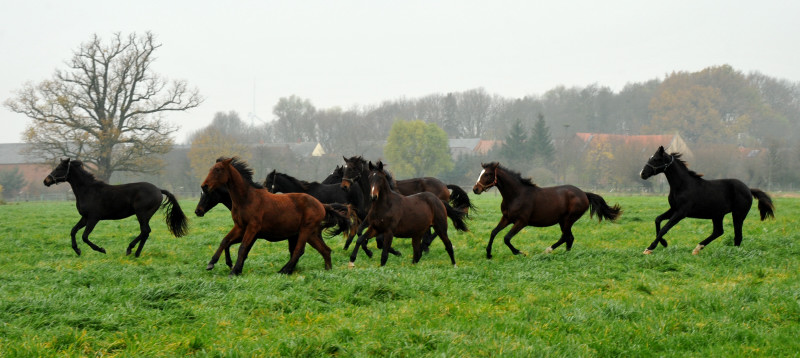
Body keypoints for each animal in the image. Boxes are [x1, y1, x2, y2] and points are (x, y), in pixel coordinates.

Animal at [43, 158, 189, 256]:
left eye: (59, 168)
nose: (46, 181)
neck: (88, 191)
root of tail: (158, 190)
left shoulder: (93, 218)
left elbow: (84, 236)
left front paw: (101, 250)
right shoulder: (85, 217)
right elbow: (73, 231)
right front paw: (77, 250)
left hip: (142, 214)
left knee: (145, 231)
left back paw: (131, 250)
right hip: (144, 216)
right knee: (146, 232)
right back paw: (136, 253)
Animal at [200, 158, 350, 276]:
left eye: (218, 170)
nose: (204, 186)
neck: (246, 199)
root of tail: (322, 205)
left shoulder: (253, 228)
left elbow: (243, 247)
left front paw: (234, 271)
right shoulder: (240, 226)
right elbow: (225, 241)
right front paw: (211, 263)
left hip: (305, 230)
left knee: (299, 250)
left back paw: (284, 270)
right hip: (311, 233)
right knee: (325, 250)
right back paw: (327, 270)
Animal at [472, 162, 620, 258]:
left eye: (488, 174)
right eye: (480, 173)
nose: (475, 189)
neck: (516, 195)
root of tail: (584, 193)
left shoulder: (521, 221)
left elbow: (506, 238)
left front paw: (519, 252)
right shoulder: (507, 218)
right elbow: (493, 232)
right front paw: (489, 253)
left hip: (569, 219)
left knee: (566, 236)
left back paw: (549, 250)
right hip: (563, 221)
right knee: (569, 237)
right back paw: (565, 253)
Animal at [636, 145, 776, 255]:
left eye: (656, 159)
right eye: (650, 158)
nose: (642, 174)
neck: (683, 185)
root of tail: (748, 189)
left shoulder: (681, 212)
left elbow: (665, 227)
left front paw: (649, 248)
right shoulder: (673, 209)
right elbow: (657, 220)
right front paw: (664, 243)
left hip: (738, 215)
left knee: (737, 235)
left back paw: (731, 253)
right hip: (717, 215)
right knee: (718, 231)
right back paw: (698, 248)